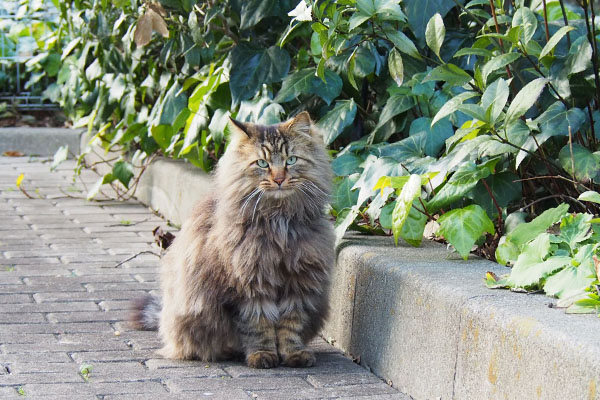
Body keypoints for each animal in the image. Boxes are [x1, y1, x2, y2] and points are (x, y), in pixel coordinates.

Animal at [129, 111, 336, 368]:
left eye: (291, 160)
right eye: (262, 163)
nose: (279, 179)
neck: (279, 220)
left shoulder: (300, 283)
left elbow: (291, 325)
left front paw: (293, 354)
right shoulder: (249, 285)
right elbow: (259, 325)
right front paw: (262, 355)